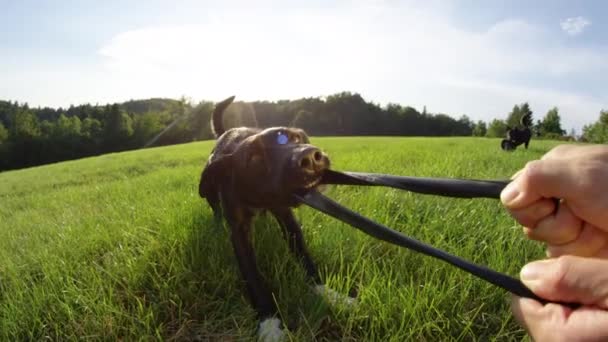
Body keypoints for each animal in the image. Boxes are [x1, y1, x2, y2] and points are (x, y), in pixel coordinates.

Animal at [198, 95, 356, 340]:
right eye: (254, 158)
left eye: (296, 138)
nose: (310, 157)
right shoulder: (239, 232)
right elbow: (253, 278)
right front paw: (269, 323)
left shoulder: (287, 218)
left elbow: (305, 259)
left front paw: (330, 294)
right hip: (210, 191)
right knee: (214, 208)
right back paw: (216, 224)